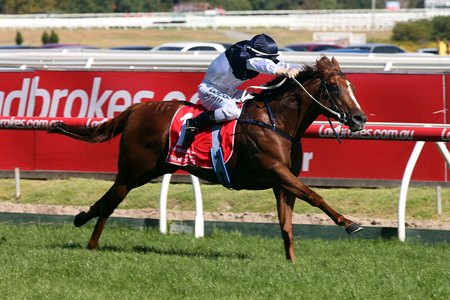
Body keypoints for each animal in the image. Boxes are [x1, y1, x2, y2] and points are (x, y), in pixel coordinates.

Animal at [50, 56, 366, 262]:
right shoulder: (275, 170)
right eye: (334, 87)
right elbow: (315, 196)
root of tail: (138, 108)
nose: (359, 119)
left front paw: (292, 262)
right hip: (134, 171)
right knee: (111, 203)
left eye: (351, 86)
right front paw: (349, 222)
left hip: (142, 171)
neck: (278, 122)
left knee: (107, 197)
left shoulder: (283, 181)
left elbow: (286, 224)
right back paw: (92, 243)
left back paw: (80, 218)